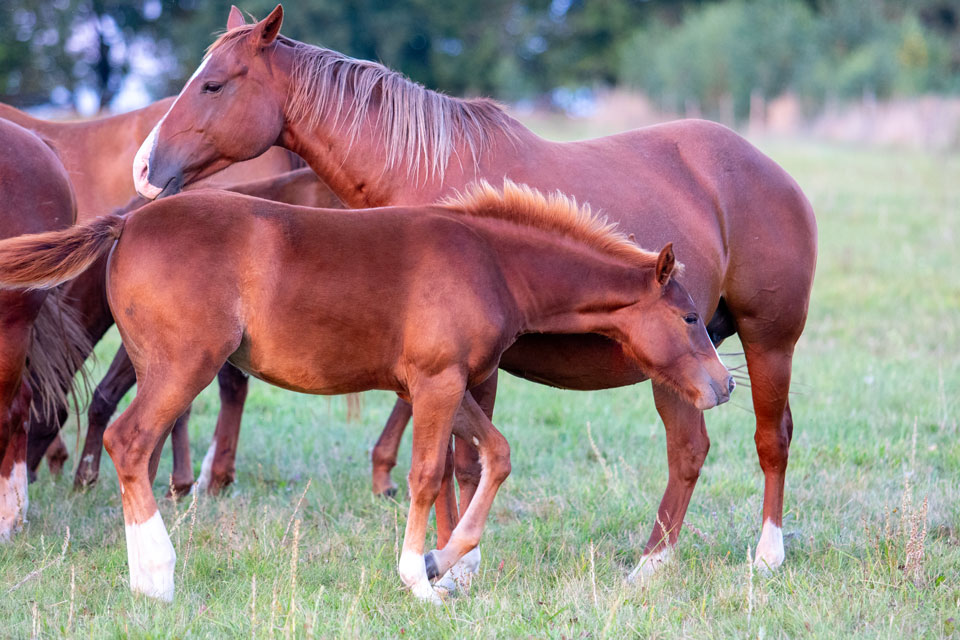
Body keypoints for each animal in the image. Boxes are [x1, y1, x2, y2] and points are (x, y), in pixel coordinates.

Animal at [0, 180, 736, 600]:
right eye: (689, 318)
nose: (725, 386)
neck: (491, 260)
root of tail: (127, 223)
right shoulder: (437, 384)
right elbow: (426, 475)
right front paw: (419, 578)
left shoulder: (448, 383)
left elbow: (494, 456)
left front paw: (442, 560)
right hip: (185, 365)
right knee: (129, 442)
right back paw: (156, 578)